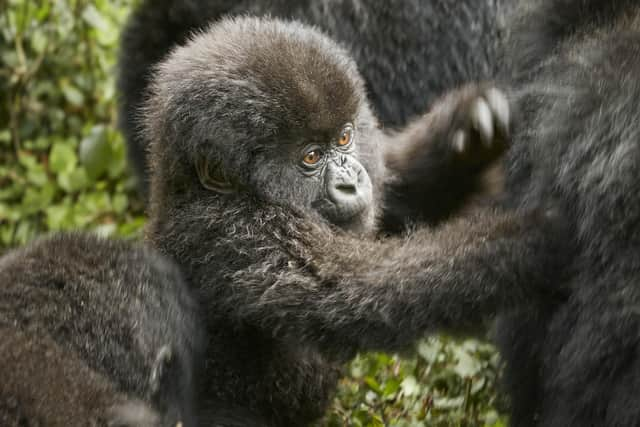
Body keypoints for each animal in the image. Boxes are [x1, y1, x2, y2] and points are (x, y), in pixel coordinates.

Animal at [142, 15, 564, 424]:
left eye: (344, 139)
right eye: (311, 157)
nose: (351, 182)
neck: (200, 190)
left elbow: (396, 187)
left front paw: (468, 133)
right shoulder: (241, 236)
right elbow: (369, 290)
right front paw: (537, 237)